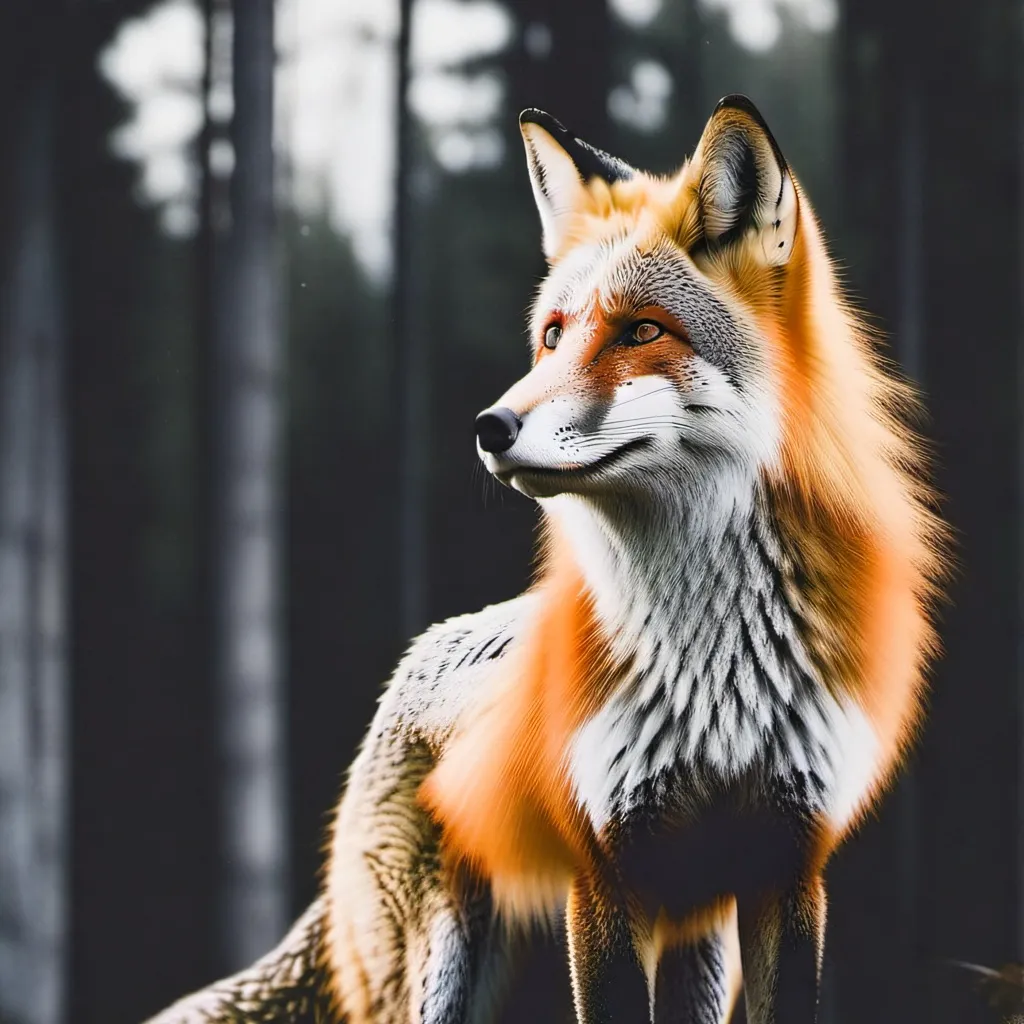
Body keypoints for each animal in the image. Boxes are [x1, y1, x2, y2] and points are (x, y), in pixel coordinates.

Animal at [419, 95, 948, 1024]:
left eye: (640, 331)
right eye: (551, 337)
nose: (490, 427)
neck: (715, 672)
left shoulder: (788, 862)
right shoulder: (606, 866)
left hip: (701, 945)